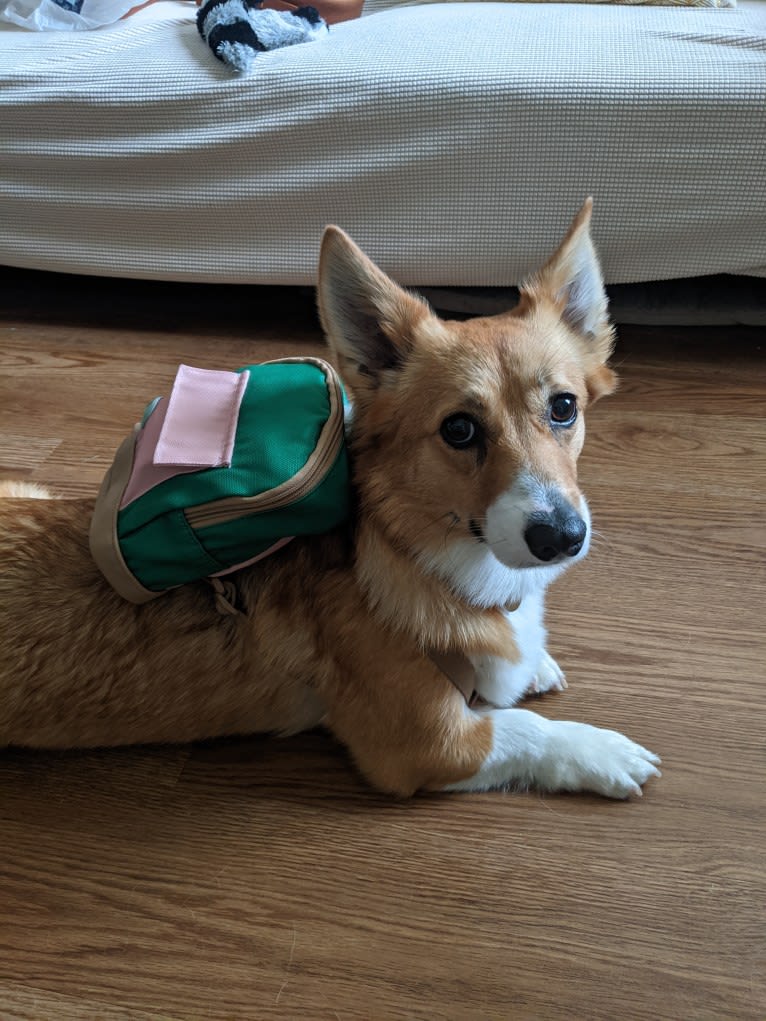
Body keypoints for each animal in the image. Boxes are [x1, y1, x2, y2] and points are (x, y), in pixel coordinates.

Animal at [0, 201, 661, 796]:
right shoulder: (430, 744)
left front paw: (536, 661)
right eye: (459, 429)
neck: (428, 557)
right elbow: (525, 728)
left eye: (564, 407)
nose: (562, 538)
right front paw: (600, 751)